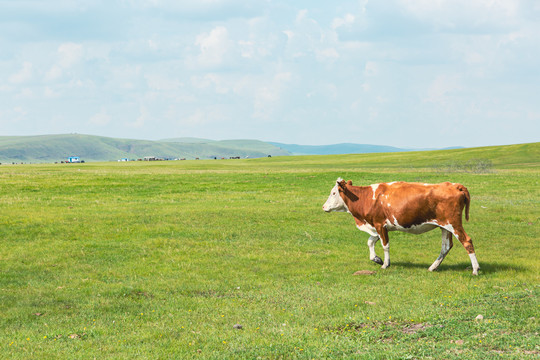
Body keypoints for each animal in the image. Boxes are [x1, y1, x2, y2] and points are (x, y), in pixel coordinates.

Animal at [322, 178, 478, 276]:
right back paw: (433, 267)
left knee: (467, 241)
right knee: (446, 246)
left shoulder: (380, 224)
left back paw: (475, 269)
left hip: (454, 223)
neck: (366, 198)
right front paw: (376, 259)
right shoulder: (377, 226)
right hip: (445, 226)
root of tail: (454, 185)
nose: (323, 207)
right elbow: (370, 241)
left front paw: (385, 264)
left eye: (334, 193)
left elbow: (385, 245)